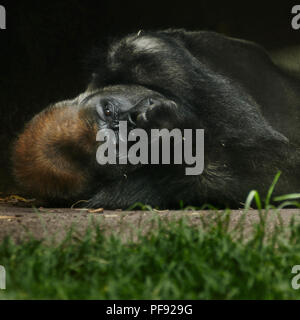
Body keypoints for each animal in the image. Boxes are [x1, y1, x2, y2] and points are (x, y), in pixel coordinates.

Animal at [12, 28, 300, 209]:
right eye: (122, 148)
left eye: (109, 111)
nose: (133, 122)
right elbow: (273, 177)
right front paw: (175, 137)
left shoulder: (148, 53)